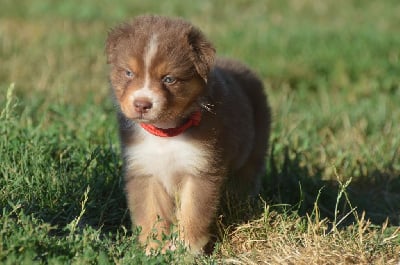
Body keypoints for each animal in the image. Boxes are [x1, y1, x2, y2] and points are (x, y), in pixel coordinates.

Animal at [104, 14, 270, 254]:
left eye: (169, 79)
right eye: (128, 73)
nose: (142, 104)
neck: (166, 134)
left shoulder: (201, 170)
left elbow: (193, 213)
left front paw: (187, 250)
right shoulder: (144, 170)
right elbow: (151, 213)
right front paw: (153, 250)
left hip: (253, 150)